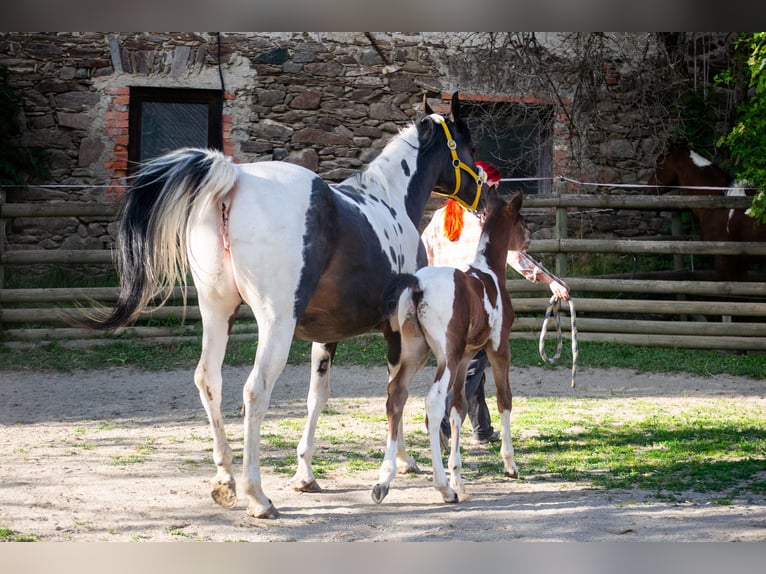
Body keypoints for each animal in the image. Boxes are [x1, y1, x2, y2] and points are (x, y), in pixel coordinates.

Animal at [75, 92, 486, 519]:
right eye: (469, 145)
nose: (484, 190)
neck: (390, 201)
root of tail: (235, 180)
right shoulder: (394, 330)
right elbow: (396, 389)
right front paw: (404, 461)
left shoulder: (325, 333)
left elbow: (317, 397)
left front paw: (305, 474)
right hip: (276, 323)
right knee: (255, 391)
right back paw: (257, 496)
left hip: (217, 312)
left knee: (208, 378)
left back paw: (225, 480)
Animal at [372, 187, 527, 505]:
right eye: (521, 220)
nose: (528, 237)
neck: (488, 272)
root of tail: (418, 288)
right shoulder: (498, 347)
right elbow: (504, 399)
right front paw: (509, 464)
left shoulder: (467, 357)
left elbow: (458, 408)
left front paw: (459, 477)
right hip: (446, 356)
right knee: (432, 402)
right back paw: (442, 487)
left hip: (417, 353)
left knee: (396, 395)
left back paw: (384, 481)